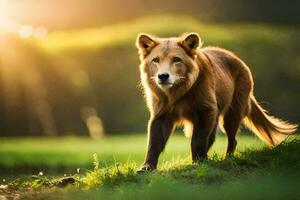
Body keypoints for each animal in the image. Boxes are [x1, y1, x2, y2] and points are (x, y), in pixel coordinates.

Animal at [136, 32, 298, 171]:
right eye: (156, 60)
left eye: (176, 59)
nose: (163, 76)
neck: (177, 92)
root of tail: (238, 59)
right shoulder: (161, 114)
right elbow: (154, 142)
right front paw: (147, 167)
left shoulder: (206, 110)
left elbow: (198, 139)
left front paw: (198, 162)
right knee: (214, 137)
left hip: (232, 113)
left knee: (232, 139)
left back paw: (227, 158)